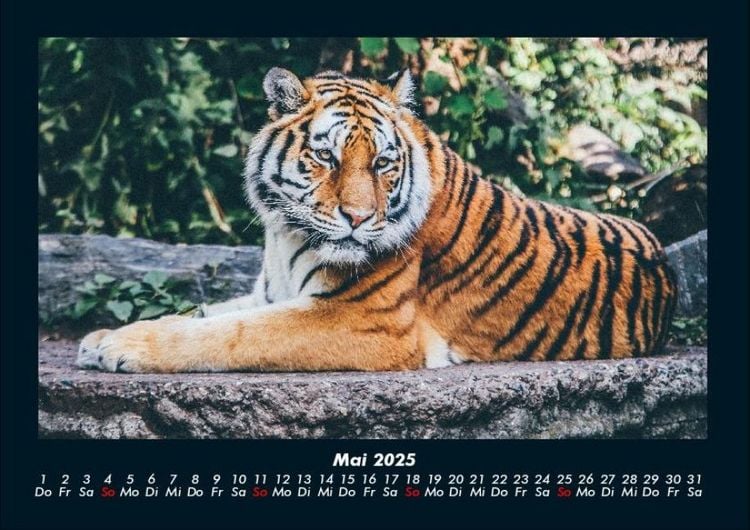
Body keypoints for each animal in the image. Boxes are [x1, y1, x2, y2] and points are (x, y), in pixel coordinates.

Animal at [76, 67, 677, 373]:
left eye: (384, 163)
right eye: (326, 156)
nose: (359, 218)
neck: (284, 235)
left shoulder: (364, 320)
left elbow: (231, 334)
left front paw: (120, 348)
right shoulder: (270, 292)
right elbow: (203, 313)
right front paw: (103, 336)